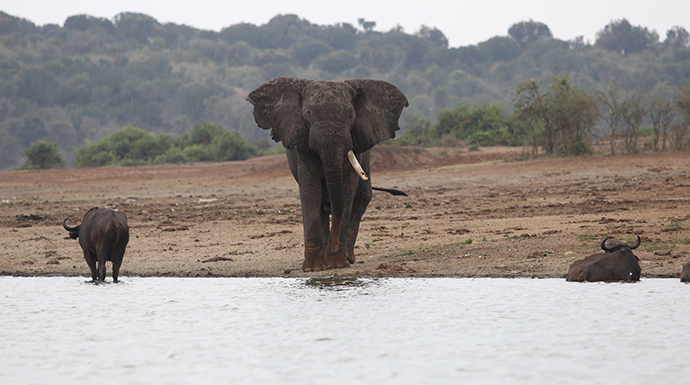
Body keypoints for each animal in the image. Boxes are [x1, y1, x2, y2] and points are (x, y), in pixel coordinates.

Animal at [249, 77, 408, 270]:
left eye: (350, 116)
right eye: (308, 114)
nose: (333, 251)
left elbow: (347, 192)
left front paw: (336, 264)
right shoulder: (303, 143)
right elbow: (310, 191)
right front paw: (314, 268)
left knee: (360, 199)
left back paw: (347, 257)